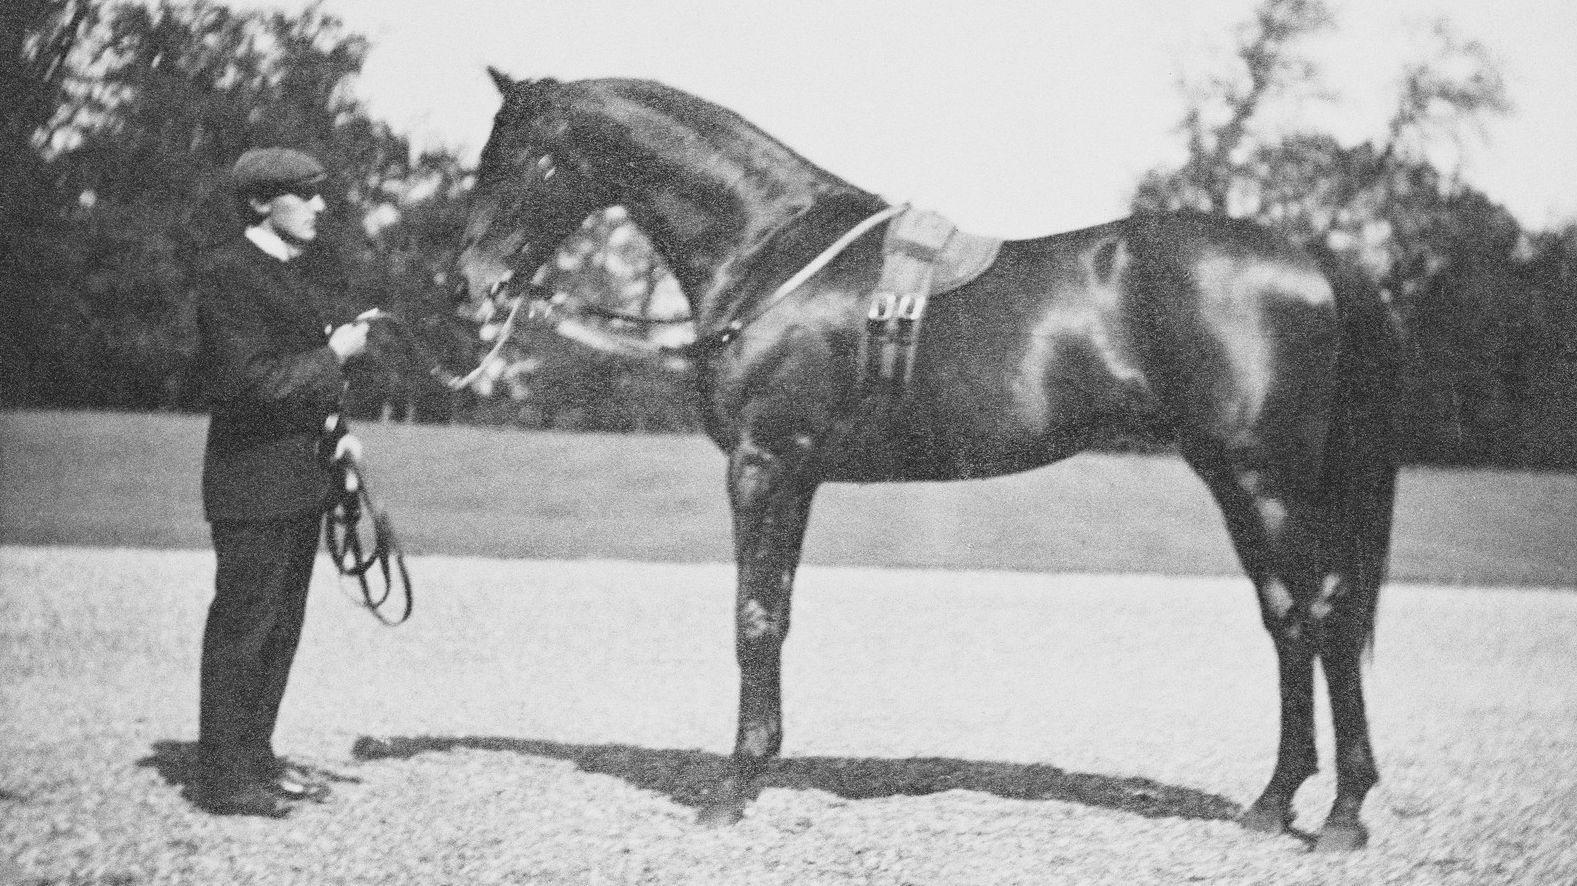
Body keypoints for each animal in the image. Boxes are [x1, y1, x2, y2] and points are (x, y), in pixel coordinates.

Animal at [454, 71, 1400, 852]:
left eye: (527, 160)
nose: (472, 282)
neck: (771, 251)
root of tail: (1313, 257)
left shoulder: (764, 465)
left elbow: (753, 619)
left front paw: (731, 790)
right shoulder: (794, 476)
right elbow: (777, 614)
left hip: (1265, 481)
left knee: (1326, 614)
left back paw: (1342, 816)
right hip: (1231, 480)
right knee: (1286, 621)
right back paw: (1270, 805)